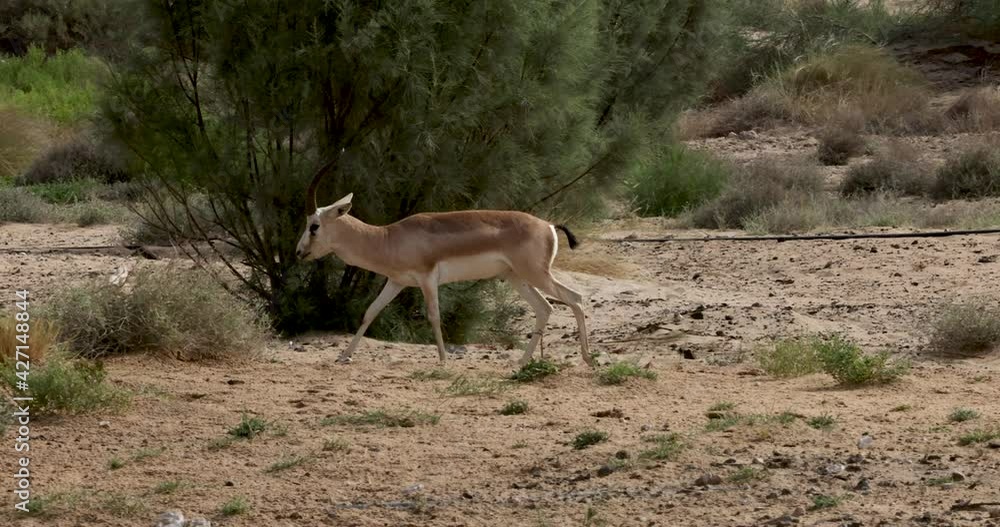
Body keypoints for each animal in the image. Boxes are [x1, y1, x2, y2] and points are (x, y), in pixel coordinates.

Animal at [295, 159, 593, 367]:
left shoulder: (427, 278)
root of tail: (548, 225)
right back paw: (522, 361)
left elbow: (434, 315)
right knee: (544, 308)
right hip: (516, 277)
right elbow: (370, 312)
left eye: (314, 226)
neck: (388, 238)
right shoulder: (396, 282)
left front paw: (443, 359)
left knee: (575, 298)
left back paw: (587, 358)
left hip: (536, 275)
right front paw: (344, 356)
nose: (299, 253)